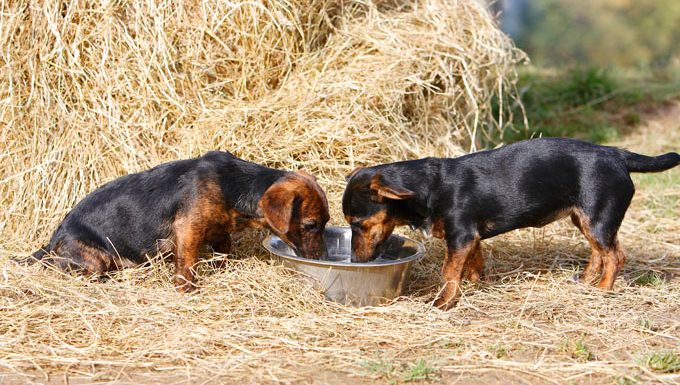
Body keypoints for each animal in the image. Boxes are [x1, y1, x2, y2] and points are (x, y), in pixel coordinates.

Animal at [31, 152, 330, 290]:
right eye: (310, 225)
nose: (324, 258)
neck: (234, 184)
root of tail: (51, 242)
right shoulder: (188, 230)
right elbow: (187, 265)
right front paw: (186, 290)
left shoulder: (220, 232)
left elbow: (223, 253)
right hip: (95, 260)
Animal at [346, 138, 680, 308]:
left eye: (358, 223)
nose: (355, 261)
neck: (431, 186)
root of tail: (618, 155)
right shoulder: (471, 238)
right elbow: (474, 264)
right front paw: (475, 284)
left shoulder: (461, 235)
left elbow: (449, 271)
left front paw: (443, 301)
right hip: (585, 219)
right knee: (600, 253)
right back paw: (586, 282)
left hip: (597, 218)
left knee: (614, 256)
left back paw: (602, 290)